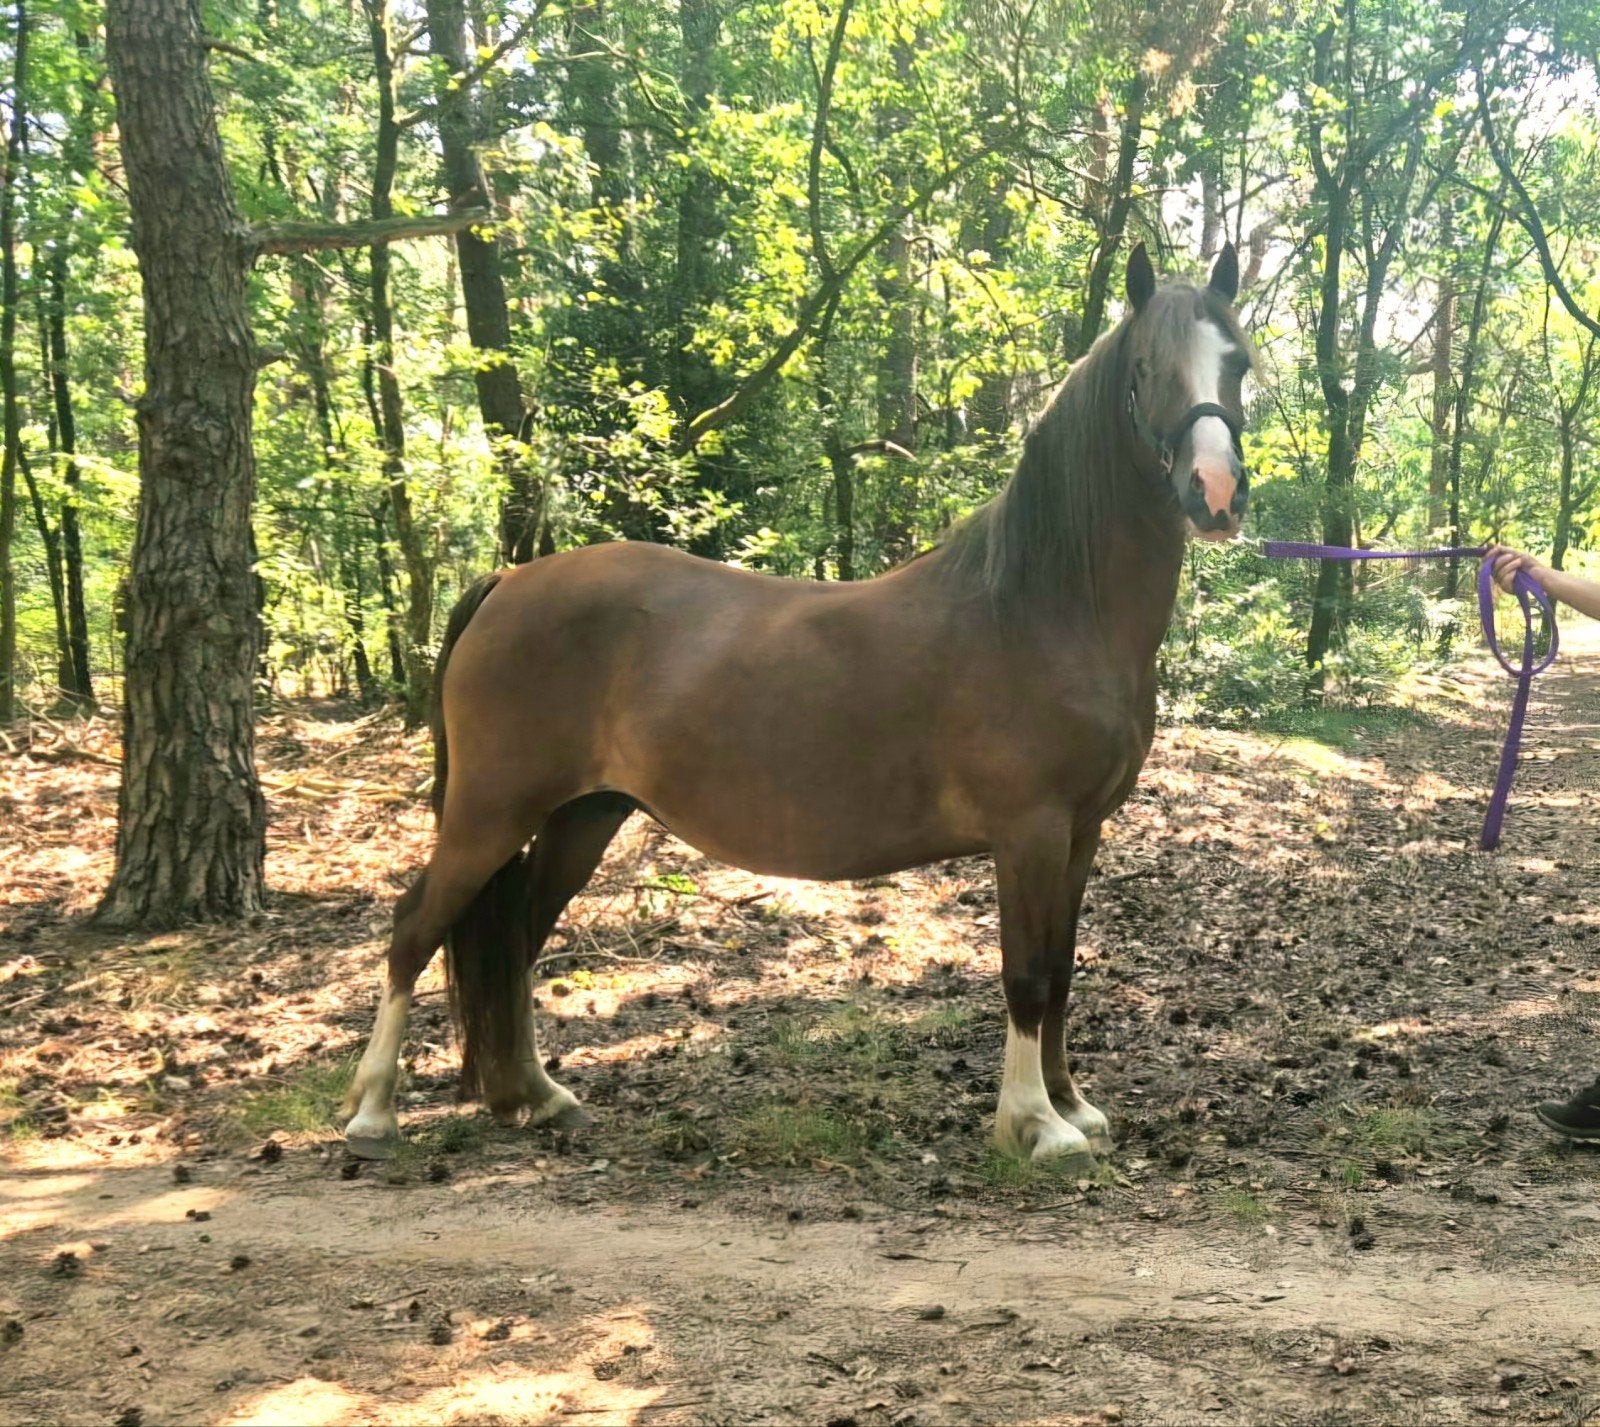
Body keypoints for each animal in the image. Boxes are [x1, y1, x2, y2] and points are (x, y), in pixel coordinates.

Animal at [340, 242, 1253, 1167]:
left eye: (1239, 363)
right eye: (1145, 370)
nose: (1215, 492)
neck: (1047, 608)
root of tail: (508, 580)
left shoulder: (1081, 832)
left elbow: (1062, 968)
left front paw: (1072, 1103)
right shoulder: (1029, 831)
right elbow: (1027, 973)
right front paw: (1036, 1123)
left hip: (581, 815)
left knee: (517, 939)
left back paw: (535, 1093)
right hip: (491, 812)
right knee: (415, 927)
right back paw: (373, 1112)